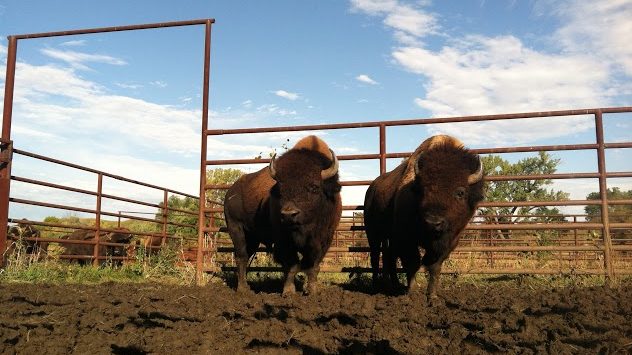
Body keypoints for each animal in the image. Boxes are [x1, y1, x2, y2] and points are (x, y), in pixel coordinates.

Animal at [222, 136, 340, 294]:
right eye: (281, 188)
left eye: (314, 187)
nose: (289, 214)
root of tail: (231, 192)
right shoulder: (283, 240)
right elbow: (292, 265)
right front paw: (289, 292)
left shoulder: (324, 240)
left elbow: (313, 267)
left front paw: (312, 291)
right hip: (236, 228)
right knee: (241, 256)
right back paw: (243, 289)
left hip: (253, 237)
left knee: (246, 256)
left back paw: (247, 287)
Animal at [362, 135, 482, 302]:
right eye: (423, 190)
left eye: (460, 192)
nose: (433, 222)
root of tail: (371, 188)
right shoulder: (406, 239)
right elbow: (413, 263)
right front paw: (411, 292)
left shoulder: (448, 243)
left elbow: (434, 267)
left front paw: (432, 296)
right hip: (373, 233)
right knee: (375, 256)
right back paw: (376, 286)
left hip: (389, 237)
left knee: (389, 257)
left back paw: (394, 285)